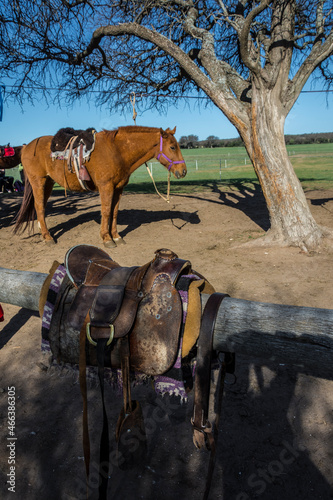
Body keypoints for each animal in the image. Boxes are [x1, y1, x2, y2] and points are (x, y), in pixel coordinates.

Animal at [13, 126, 185, 247]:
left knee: (40, 207)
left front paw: (116, 236)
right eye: (172, 147)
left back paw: (43, 233)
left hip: (48, 183)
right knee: (39, 207)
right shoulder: (106, 187)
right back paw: (48, 237)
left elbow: (114, 212)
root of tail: (26, 147)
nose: (183, 171)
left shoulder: (118, 188)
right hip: (38, 182)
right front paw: (107, 239)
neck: (117, 150)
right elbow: (106, 212)